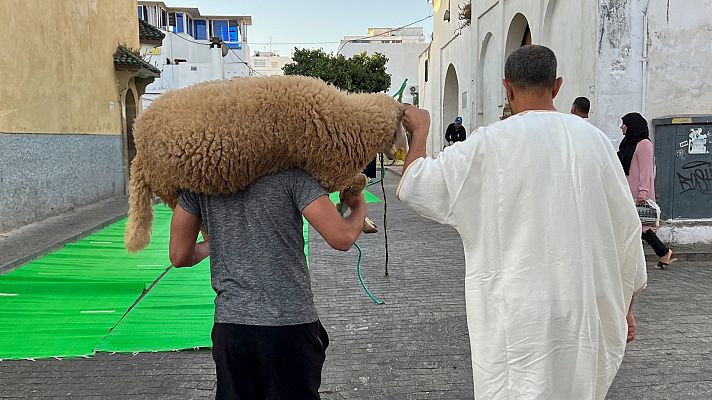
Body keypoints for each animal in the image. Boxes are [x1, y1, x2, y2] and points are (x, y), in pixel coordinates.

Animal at [125, 73, 408, 252]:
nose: (400, 152)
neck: (354, 120)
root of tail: (138, 139)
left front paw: (353, 211)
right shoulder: (328, 171)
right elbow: (360, 181)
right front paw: (348, 208)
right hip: (169, 184)